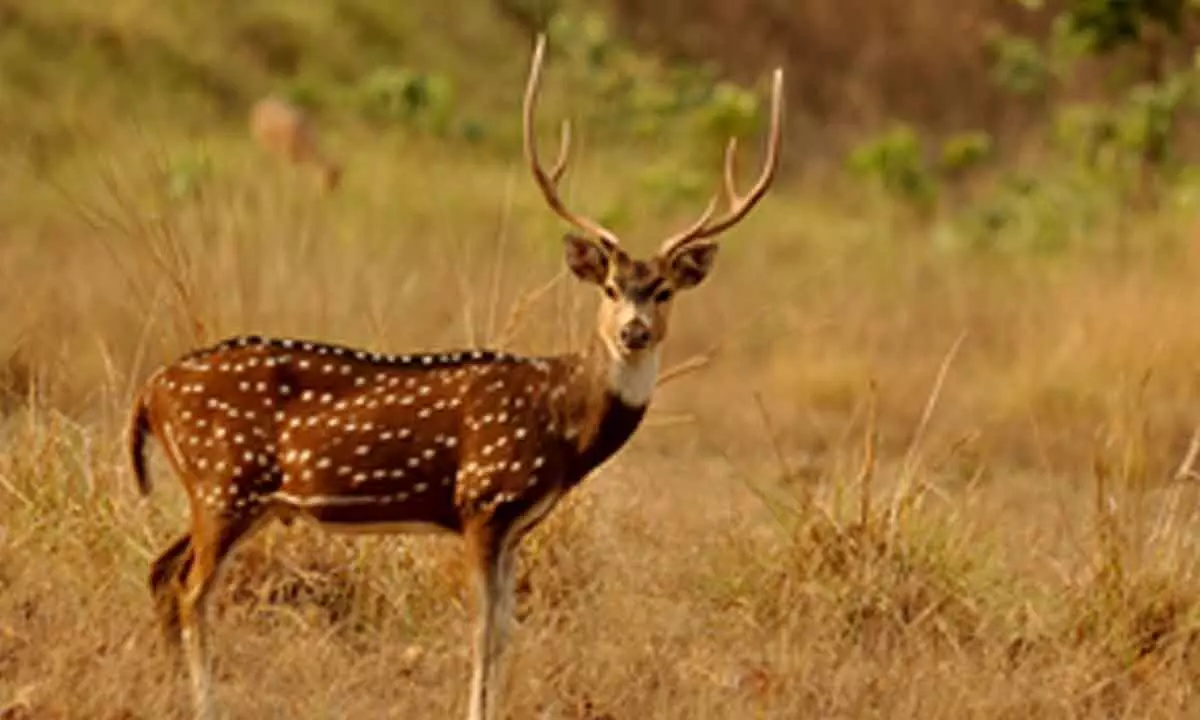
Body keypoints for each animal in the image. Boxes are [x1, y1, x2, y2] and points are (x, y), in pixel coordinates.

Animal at [131, 36, 782, 720]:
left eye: (662, 291)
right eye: (609, 287)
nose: (632, 331)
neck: (562, 424)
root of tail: (150, 391)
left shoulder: (518, 523)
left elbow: (507, 630)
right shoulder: (483, 499)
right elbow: (482, 630)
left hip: (231, 496)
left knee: (161, 571)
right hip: (224, 482)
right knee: (192, 590)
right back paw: (206, 704)